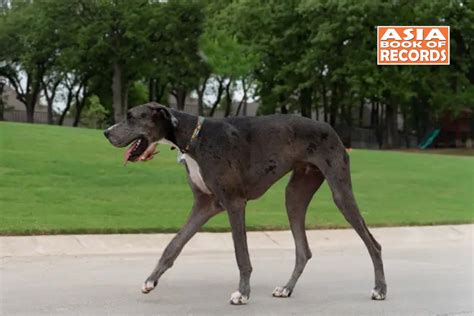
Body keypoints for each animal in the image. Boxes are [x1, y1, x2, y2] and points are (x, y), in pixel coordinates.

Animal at [103, 102, 386, 304]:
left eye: (131, 116)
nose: (106, 133)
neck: (194, 138)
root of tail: (330, 128)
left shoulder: (234, 203)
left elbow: (241, 254)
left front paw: (243, 293)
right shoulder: (205, 205)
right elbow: (174, 245)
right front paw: (151, 281)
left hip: (340, 192)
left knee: (373, 243)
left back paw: (380, 289)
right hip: (294, 195)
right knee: (303, 250)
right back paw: (286, 288)